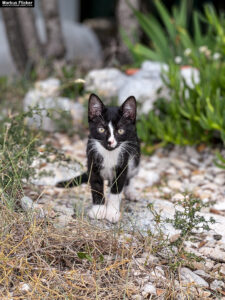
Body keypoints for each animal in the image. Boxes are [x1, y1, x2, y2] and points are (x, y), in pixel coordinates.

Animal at [57, 94, 140, 223]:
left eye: (120, 131)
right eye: (101, 129)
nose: (110, 142)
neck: (109, 154)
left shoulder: (123, 164)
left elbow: (116, 188)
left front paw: (112, 212)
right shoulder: (92, 162)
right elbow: (96, 187)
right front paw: (98, 210)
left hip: (135, 154)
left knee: (130, 174)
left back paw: (131, 191)